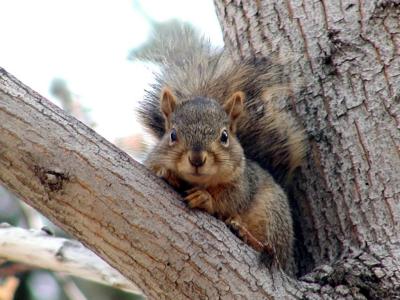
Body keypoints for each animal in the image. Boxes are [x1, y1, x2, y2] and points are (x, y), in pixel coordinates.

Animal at [138, 25, 306, 270]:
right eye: (172, 135)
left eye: (224, 136)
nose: (197, 158)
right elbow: (153, 167)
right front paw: (166, 172)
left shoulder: (243, 182)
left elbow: (231, 199)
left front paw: (205, 198)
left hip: (273, 214)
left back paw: (244, 234)